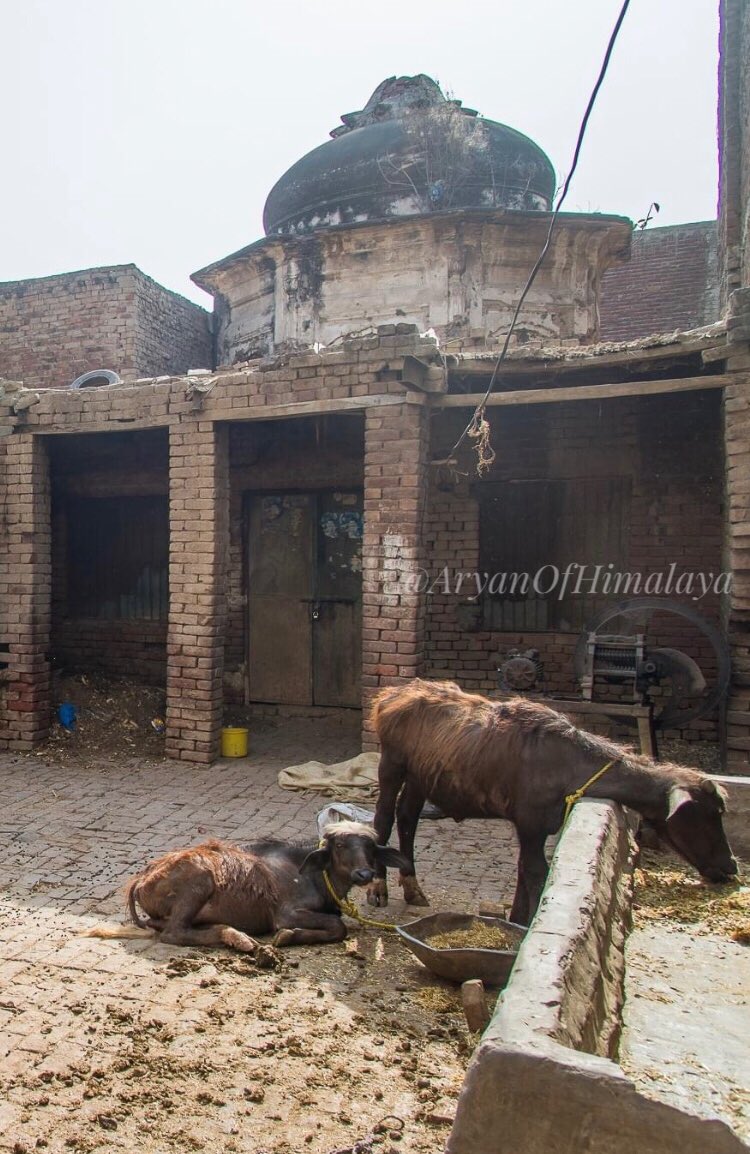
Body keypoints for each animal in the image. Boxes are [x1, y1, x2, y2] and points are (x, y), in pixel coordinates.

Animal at [87, 826, 408, 950]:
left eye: (370, 848)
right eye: (340, 845)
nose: (364, 873)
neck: (310, 874)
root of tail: (142, 879)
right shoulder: (286, 912)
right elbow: (337, 927)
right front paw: (286, 937)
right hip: (199, 882)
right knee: (174, 933)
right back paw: (237, 938)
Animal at [364, 678, 733, 923]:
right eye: (708, 813)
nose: (730, 866)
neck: (569, 764)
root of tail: (392, 695)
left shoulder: (533, 828)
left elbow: (523, 869)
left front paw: (515, 919)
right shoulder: (530, 823)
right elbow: (535, 871)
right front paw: (524, 923)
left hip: (420, 777)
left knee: (408, 818)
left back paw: (413, 887)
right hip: (392, 764)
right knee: (384, 818)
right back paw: (379, 889)